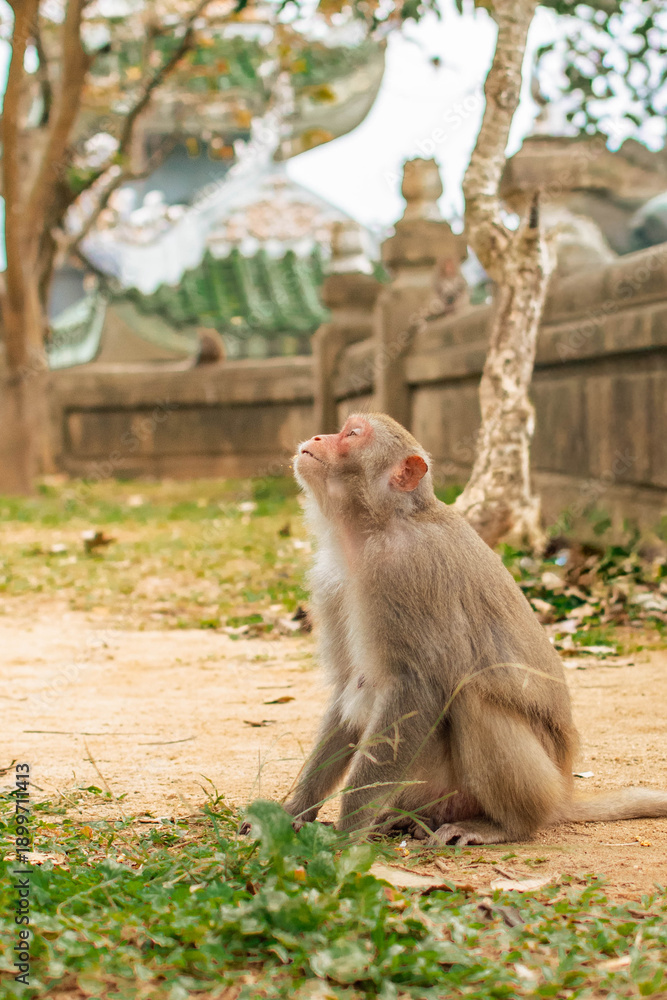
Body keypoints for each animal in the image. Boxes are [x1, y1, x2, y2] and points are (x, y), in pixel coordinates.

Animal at [282, 412, 667, 845]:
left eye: (352, 434)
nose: (318, 436)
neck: (374, 529)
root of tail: (562, 793)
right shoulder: (331, 582)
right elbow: (351, 685)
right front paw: (295, 811)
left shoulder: (409, 572)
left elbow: (416, 690)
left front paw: (345, 836)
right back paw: (403, 819)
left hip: (535, 785)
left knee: (473, 696)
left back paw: (501, 826)